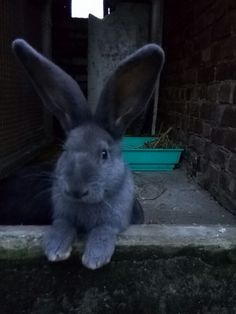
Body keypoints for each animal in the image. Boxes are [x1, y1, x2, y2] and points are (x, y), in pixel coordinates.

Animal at [12, 38, 164, 270]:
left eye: (104, 154)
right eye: (65, 149)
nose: (75, 189)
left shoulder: (114, 220)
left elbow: (104, 230)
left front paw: (94, 258)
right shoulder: (62, 215)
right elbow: (62, 225)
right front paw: (55, 249)